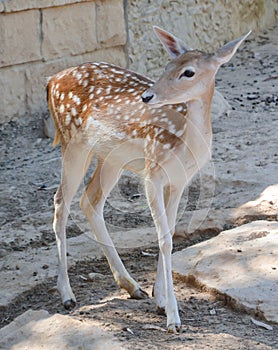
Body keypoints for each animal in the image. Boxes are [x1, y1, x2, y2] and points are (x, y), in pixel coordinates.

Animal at [46, 26, 251, 332]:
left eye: (188, 72)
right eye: (166, 66)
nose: (147, 96)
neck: (185, 145)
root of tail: (51, 81)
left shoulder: (179, 181)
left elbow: (170, 233)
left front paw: (159, 300)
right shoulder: (152, 173)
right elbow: (164, 238)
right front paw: (173, 318)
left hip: (110, 158)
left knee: (89, 201)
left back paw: (131, 286)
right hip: (73, 143)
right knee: (61, 201)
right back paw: (67, 295)